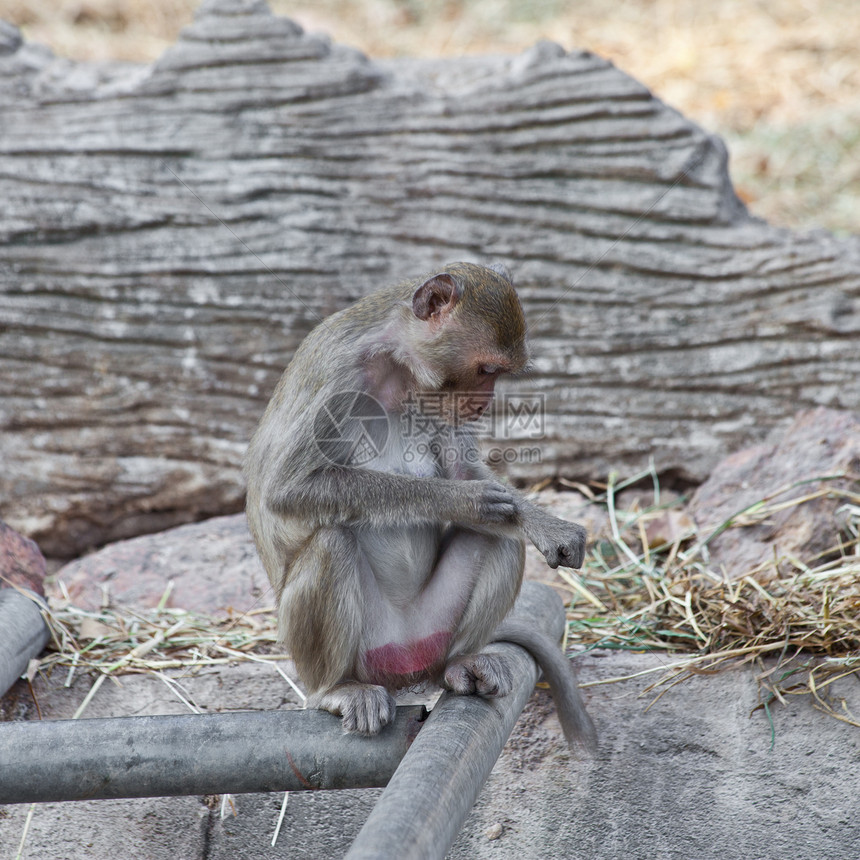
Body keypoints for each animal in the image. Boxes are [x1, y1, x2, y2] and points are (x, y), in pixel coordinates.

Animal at [245, 264, 596, 752]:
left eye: (499, 373)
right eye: (487, 369)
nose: (484, 402)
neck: (400, 368)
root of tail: (406, 665)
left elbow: (469, 475)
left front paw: (542, 522)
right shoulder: (339, 375)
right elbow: (289, 488)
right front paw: (462, 501)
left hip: (431, 631)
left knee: (498, 541)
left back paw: (459, 663)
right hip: (366, 650)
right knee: (331, 543)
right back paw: (337, 689)